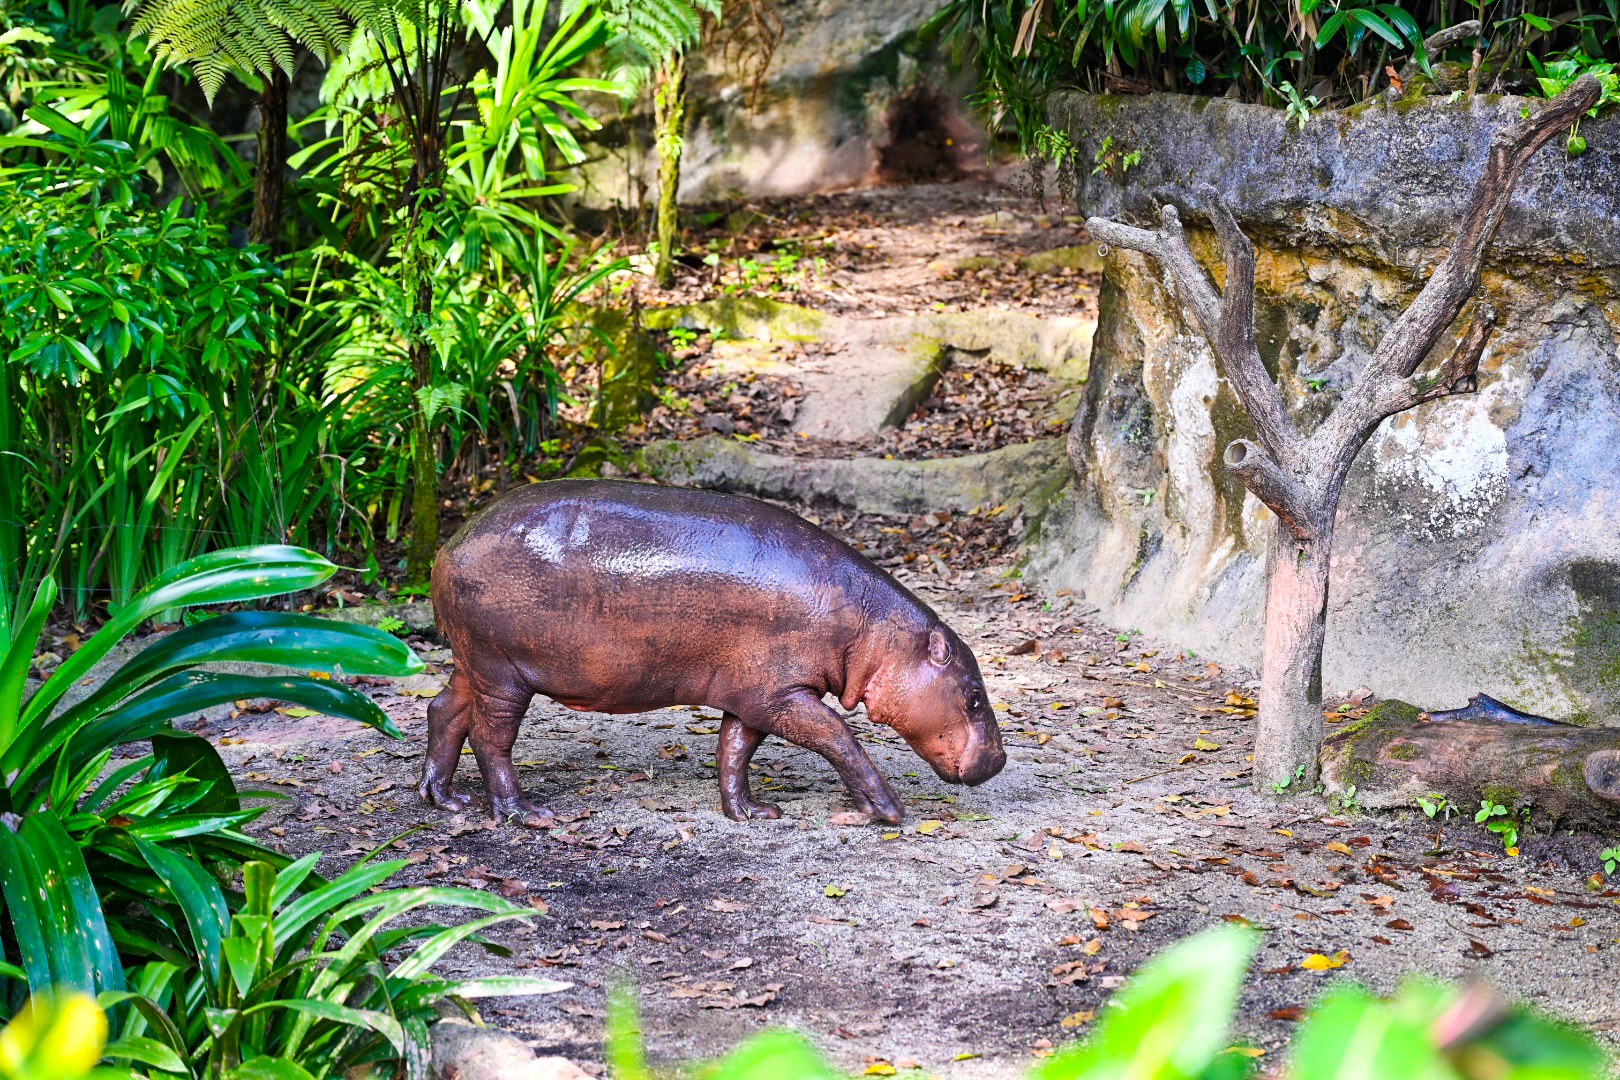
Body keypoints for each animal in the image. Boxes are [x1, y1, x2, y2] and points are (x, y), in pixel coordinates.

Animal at [421, 476, 997, 822]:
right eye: (973, 697)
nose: (1000, 760)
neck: (877, 633)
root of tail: (450, 543)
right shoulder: (784, 694)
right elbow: (839, 737)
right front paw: (889, 810)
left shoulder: (755, 695)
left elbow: (734, 750)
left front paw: (751, 814)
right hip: (502, 671)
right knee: (491, 738)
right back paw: (523, 814)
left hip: (473, 663)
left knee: (444, 710)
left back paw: (445, 799)